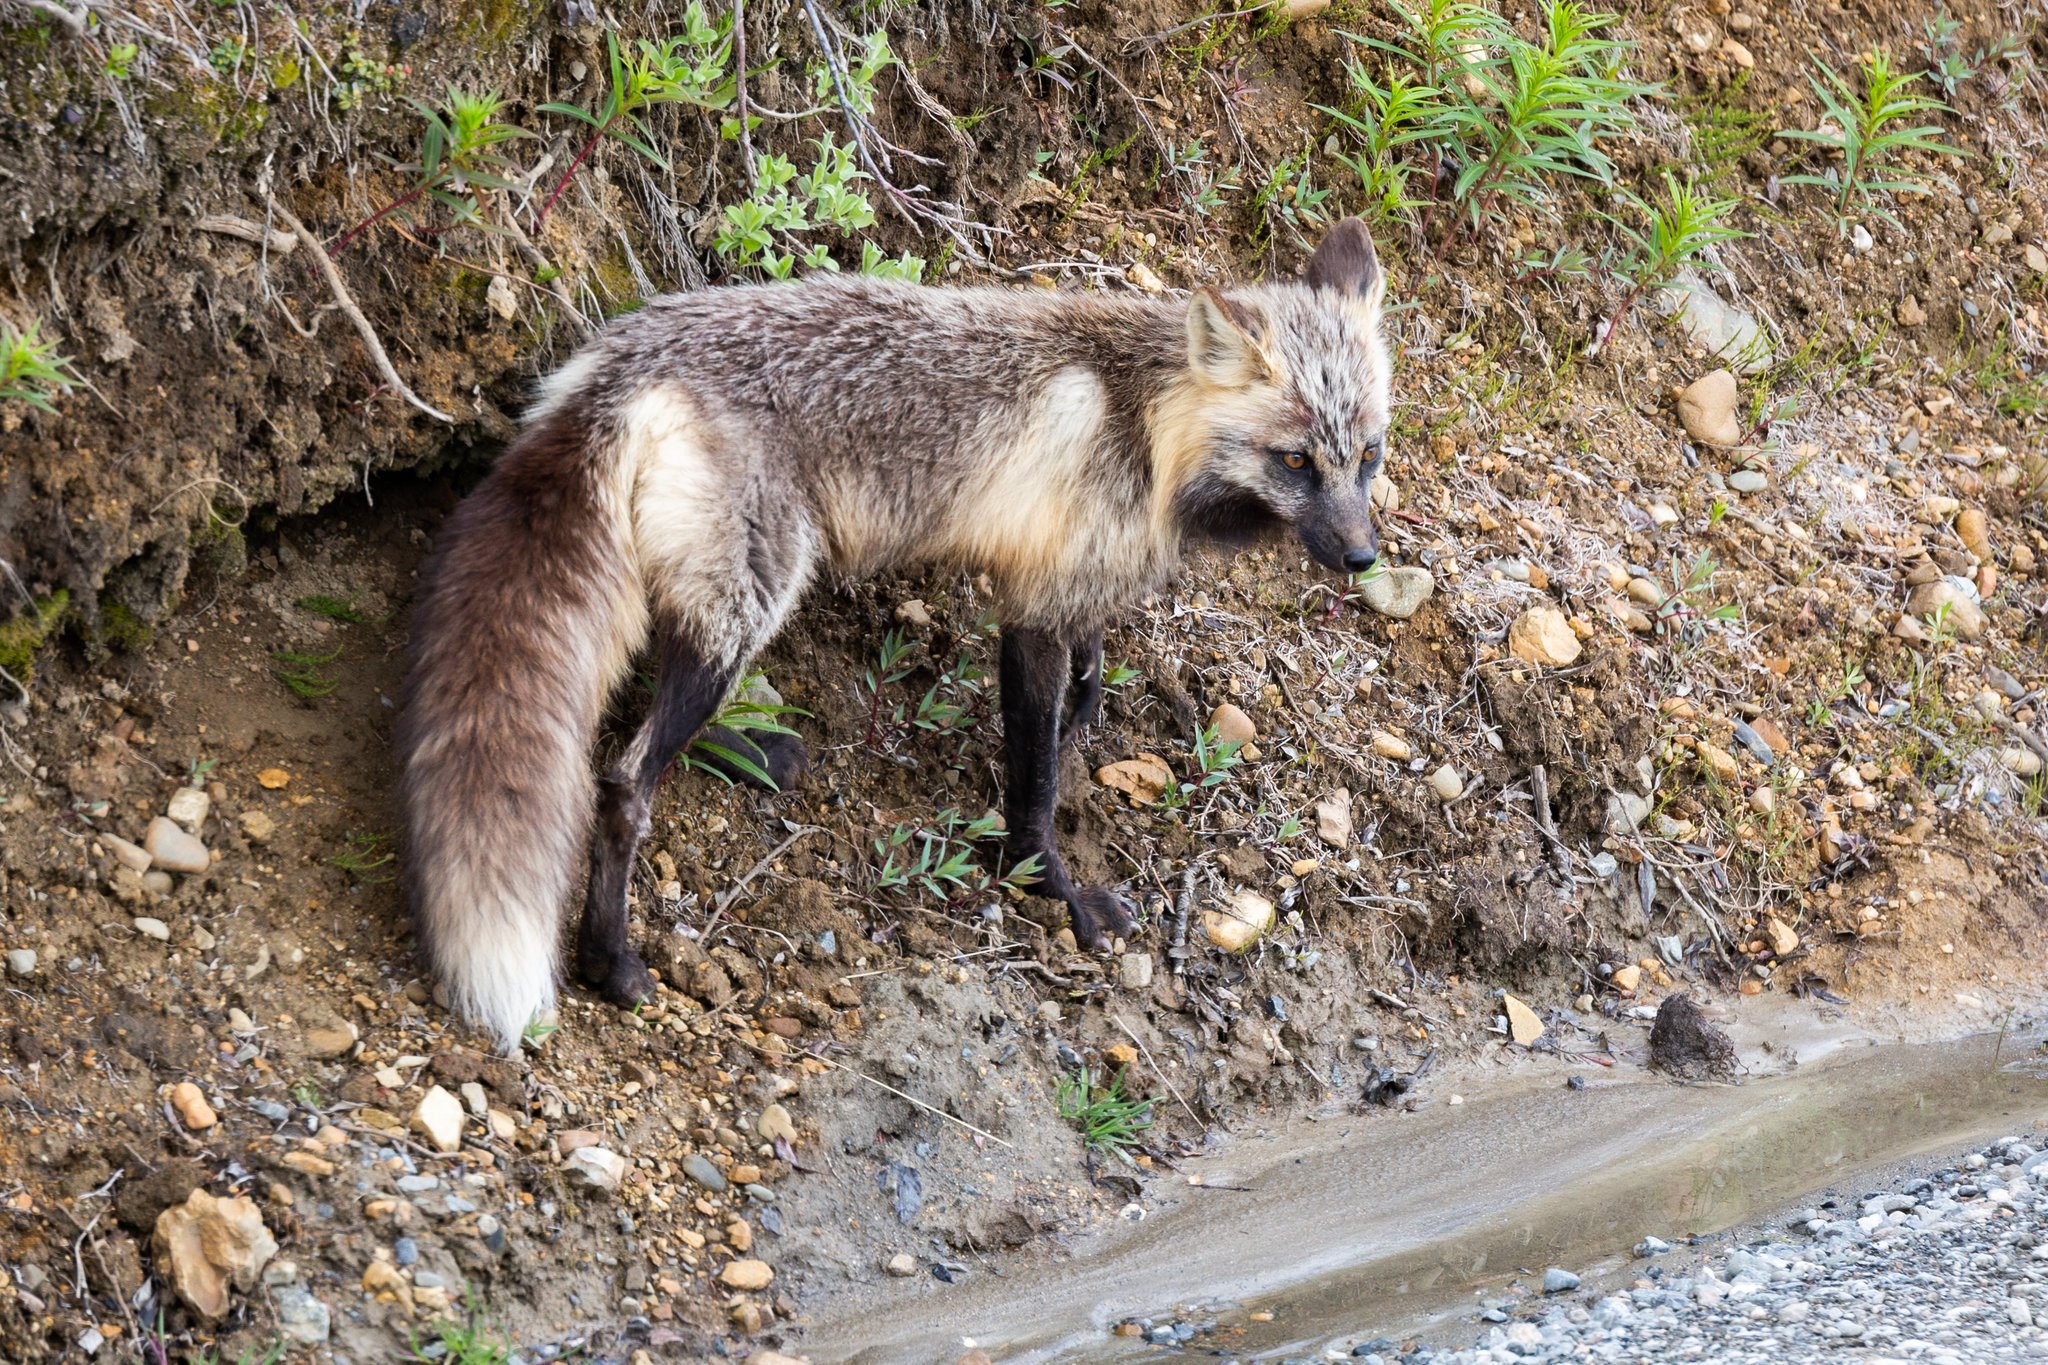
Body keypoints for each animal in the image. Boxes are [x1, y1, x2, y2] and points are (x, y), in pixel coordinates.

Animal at [396, 217, 1393, 1052]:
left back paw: (753, 756)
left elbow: (1087, 674)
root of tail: (623, 366)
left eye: (1369, 454)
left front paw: (1084, 714)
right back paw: (613, 962)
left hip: (724, 610)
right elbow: (1034, 780)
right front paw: (1048, 885)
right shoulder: (1031, 607)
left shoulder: (1075, 581)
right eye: (1295, 460)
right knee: (623, 779)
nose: (1362, 555)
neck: (1143, 427)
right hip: (754, 597)